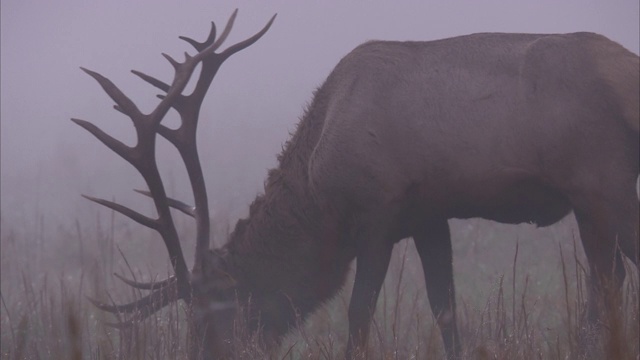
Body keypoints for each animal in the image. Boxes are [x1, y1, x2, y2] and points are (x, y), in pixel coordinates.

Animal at [74, 9, 636, 358]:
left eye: (213, 315)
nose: (200, 355)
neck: (319, 196)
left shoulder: (377, 213)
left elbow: (359, 313)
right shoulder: (428, 214)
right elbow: (446, 309)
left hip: (601, 184)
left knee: (608, 283)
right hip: (602, 194)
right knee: (611, 280)